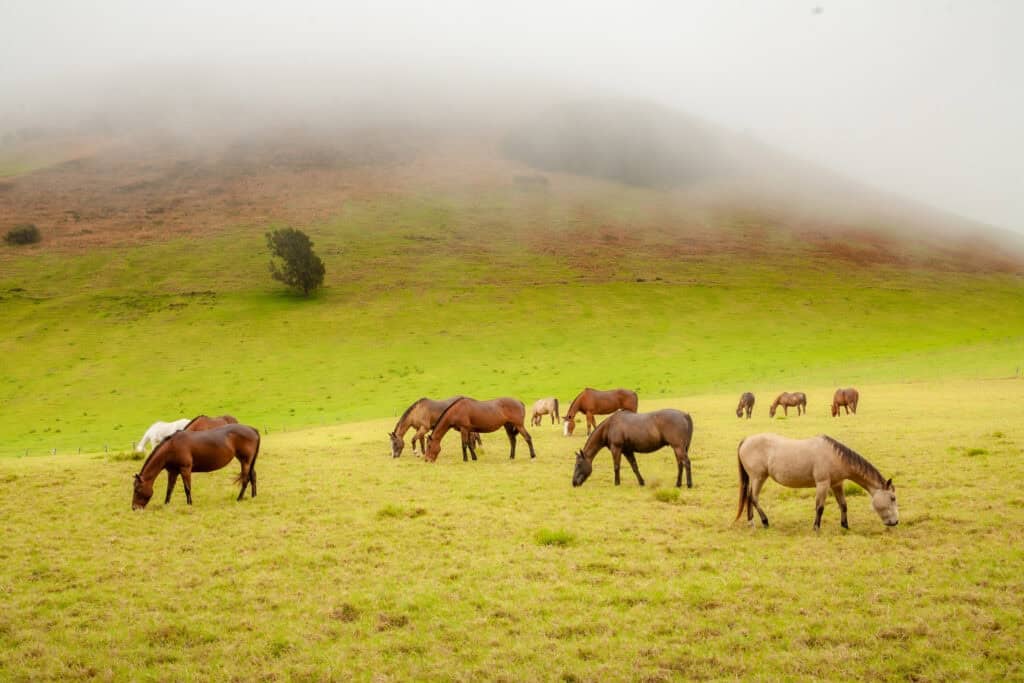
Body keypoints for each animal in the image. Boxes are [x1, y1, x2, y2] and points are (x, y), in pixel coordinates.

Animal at [132, 424, 261, 509]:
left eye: (137, 489)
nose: (134, 508)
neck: (171, 447)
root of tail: (252, 429)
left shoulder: (185, 469)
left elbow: (187, 488)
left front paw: (189, 504)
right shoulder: (172, 472)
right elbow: (169, 489)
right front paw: (166, 504)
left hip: (245, 461)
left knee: (245, 479)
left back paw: (239, 498)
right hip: (248, 462)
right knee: (253, 476)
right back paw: (254, 496)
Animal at [735, 433, 898, 530]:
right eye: (892, 498)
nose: (895, 522)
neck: (834, 455)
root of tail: (746, 440)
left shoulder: (837, 484)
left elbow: (843, 505)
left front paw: (845, 526)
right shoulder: (823, 484)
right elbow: (820, 507)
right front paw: (816, 527)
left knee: (749, 498)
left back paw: (751, 522)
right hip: (758, 478)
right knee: (753, 498)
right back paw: (765, 521)